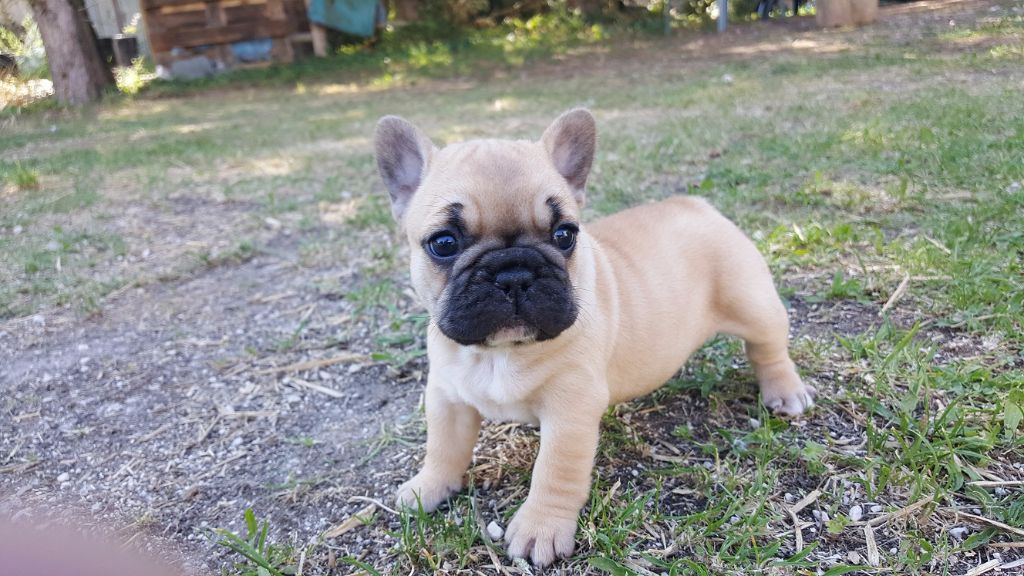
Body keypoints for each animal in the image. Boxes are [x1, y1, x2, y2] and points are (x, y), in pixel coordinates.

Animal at [372, 108, 811, 565]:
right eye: (443, 243)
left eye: (565, 234)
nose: (514, 273)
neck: (499, 353)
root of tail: (697, 205)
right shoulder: (447, 398)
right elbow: (442, 447)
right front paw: (427, 488)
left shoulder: (571, 409)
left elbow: (554, 470)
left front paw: (540, 528)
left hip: (753, 303)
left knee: (768, 349)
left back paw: (784, 392)